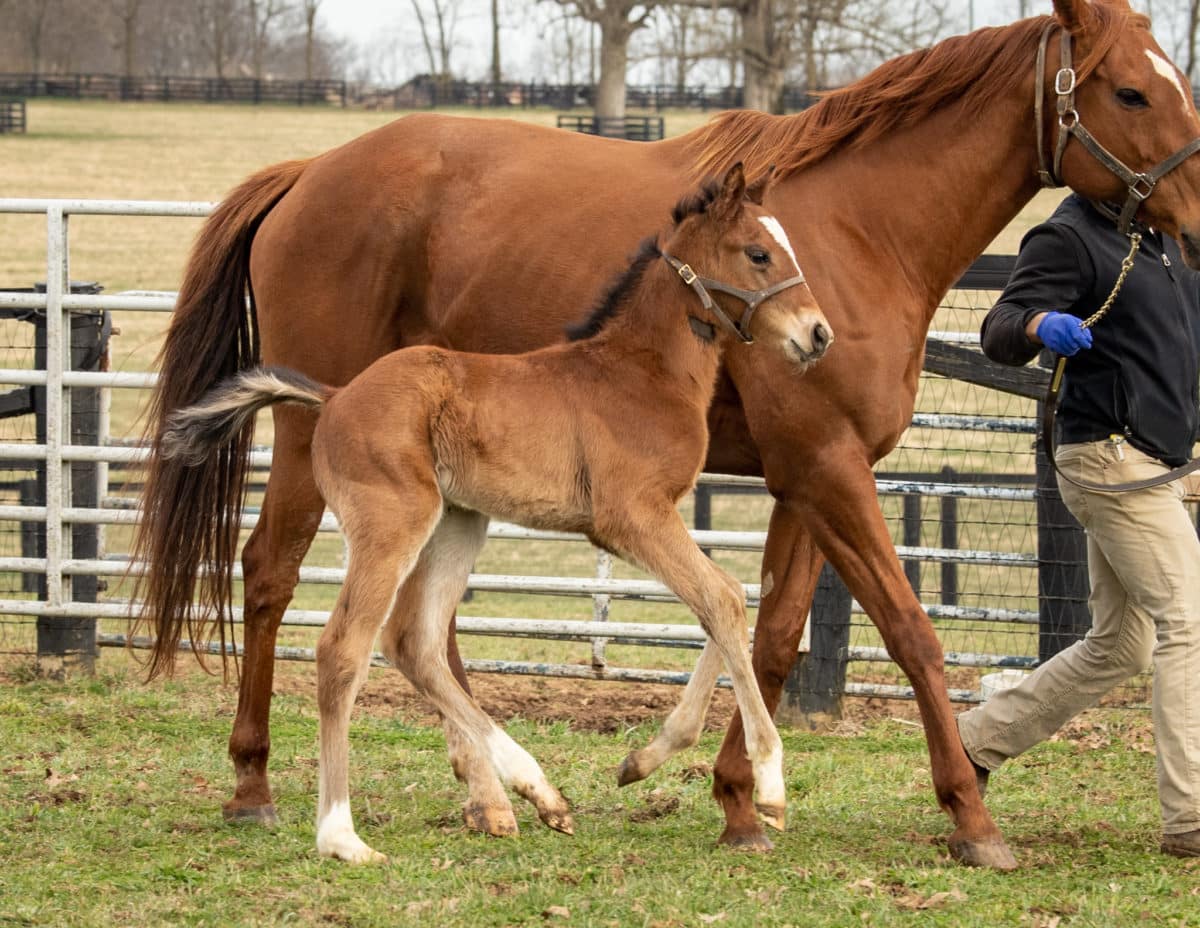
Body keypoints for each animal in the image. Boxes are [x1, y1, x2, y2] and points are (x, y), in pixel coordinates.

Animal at [162, 164, 835, 859]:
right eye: (758, 253)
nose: (817, 334)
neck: (640, 374)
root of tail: (336, 394)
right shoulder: (633, 518)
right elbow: (724, 600)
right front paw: (771, 782)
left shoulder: (653, 522)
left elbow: (722, 604)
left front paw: (641, 760)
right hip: (393, 524)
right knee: (343, 649)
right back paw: (342, 835)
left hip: (459, 521)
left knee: (414, 643)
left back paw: (537, 791)